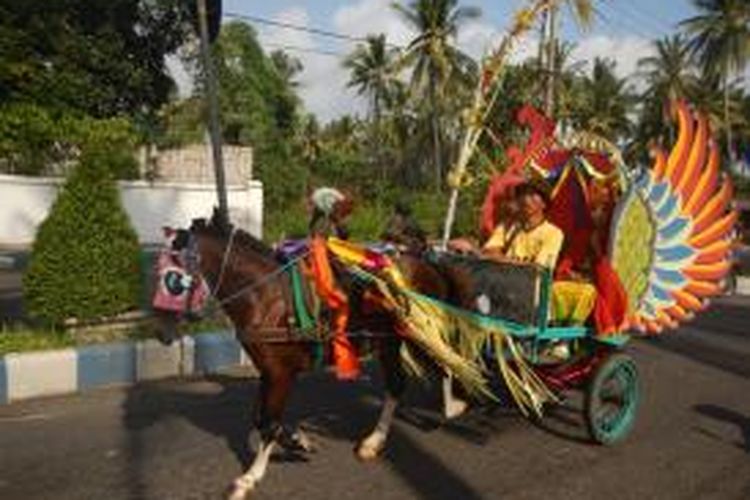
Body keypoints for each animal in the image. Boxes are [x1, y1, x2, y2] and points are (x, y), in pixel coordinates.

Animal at [152, 212, 452, 500]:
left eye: (173, 280)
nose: (161, 332)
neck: (268, 297)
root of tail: (424, 259)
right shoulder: (268, 369)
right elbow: (260, 417)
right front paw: (297, 440)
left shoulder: (281, 373)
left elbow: (269, 423)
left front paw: (250, 478)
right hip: (389, 343)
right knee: (403, 382)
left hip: (413, 337)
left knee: (432, 369)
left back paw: (432, 416)